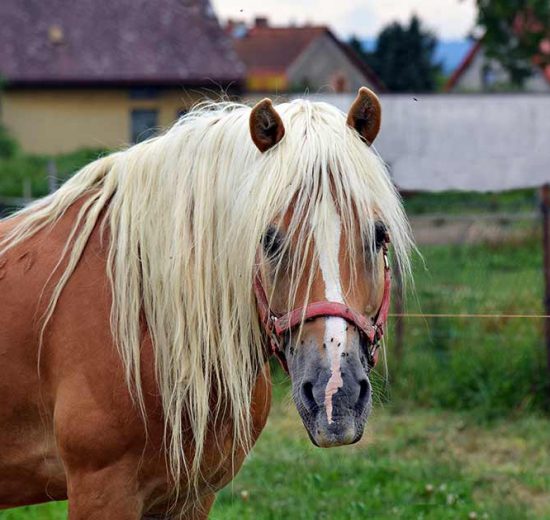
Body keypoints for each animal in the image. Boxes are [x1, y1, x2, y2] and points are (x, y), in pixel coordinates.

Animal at [0, 87, 414, 516]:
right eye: (269, 240)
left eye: (379, 235)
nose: (335, 396)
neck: (148, 320)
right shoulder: (102, 491)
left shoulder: (192, 497)